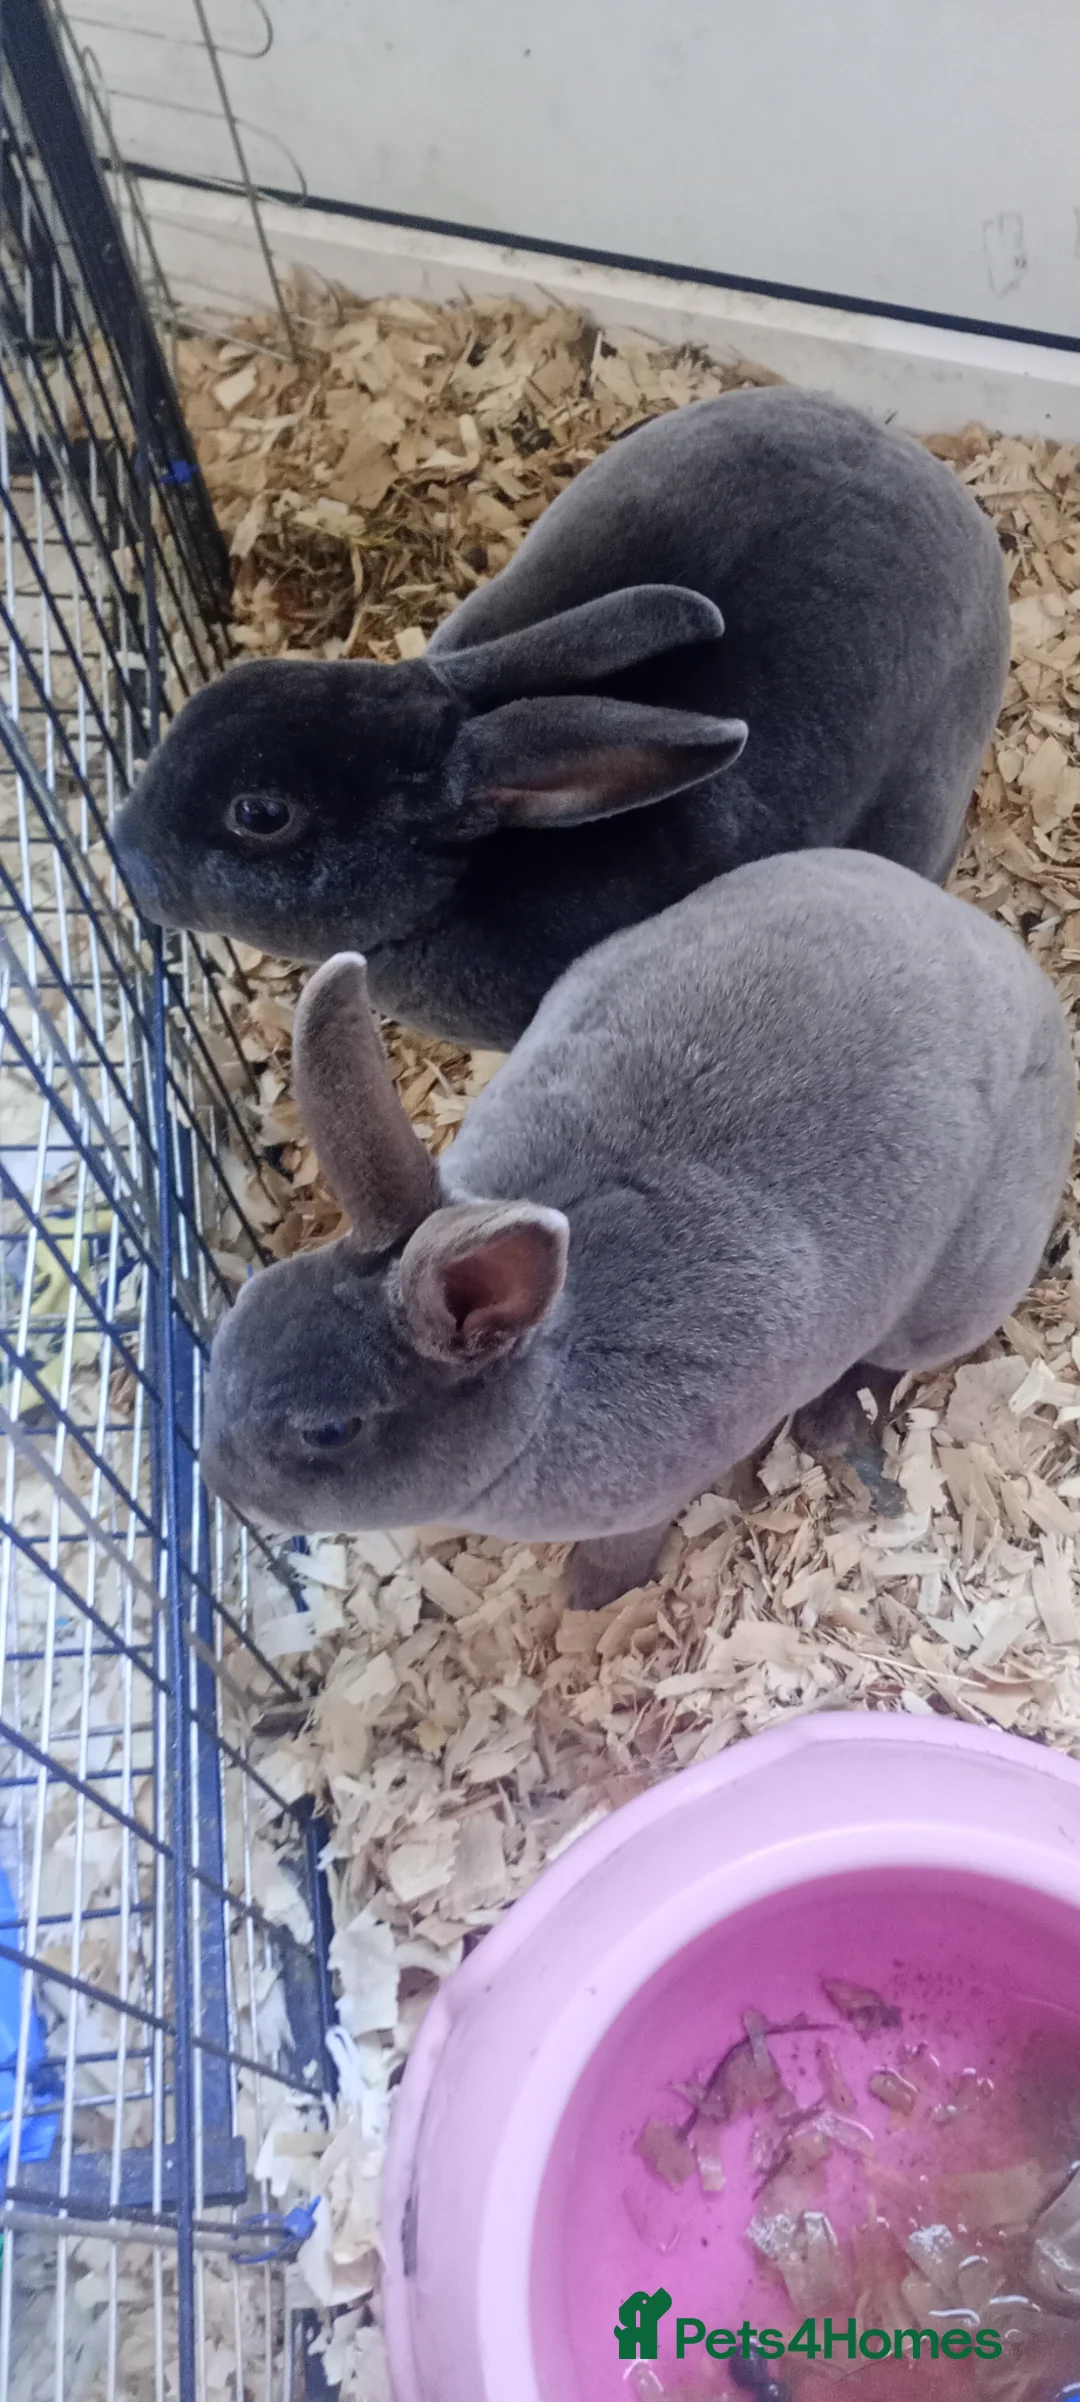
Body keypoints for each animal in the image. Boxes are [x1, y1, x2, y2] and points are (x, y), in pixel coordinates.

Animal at [200, 848, 1075, 1610]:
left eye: (329, 1431)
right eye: (243, 1316)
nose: (217, 1485)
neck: (546, 1382)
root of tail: (1020, 977)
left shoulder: (654, 1494)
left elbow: (627, 1546)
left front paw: (591, 1600)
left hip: (965, 1280)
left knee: (897, 1359)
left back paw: (835, 1425)